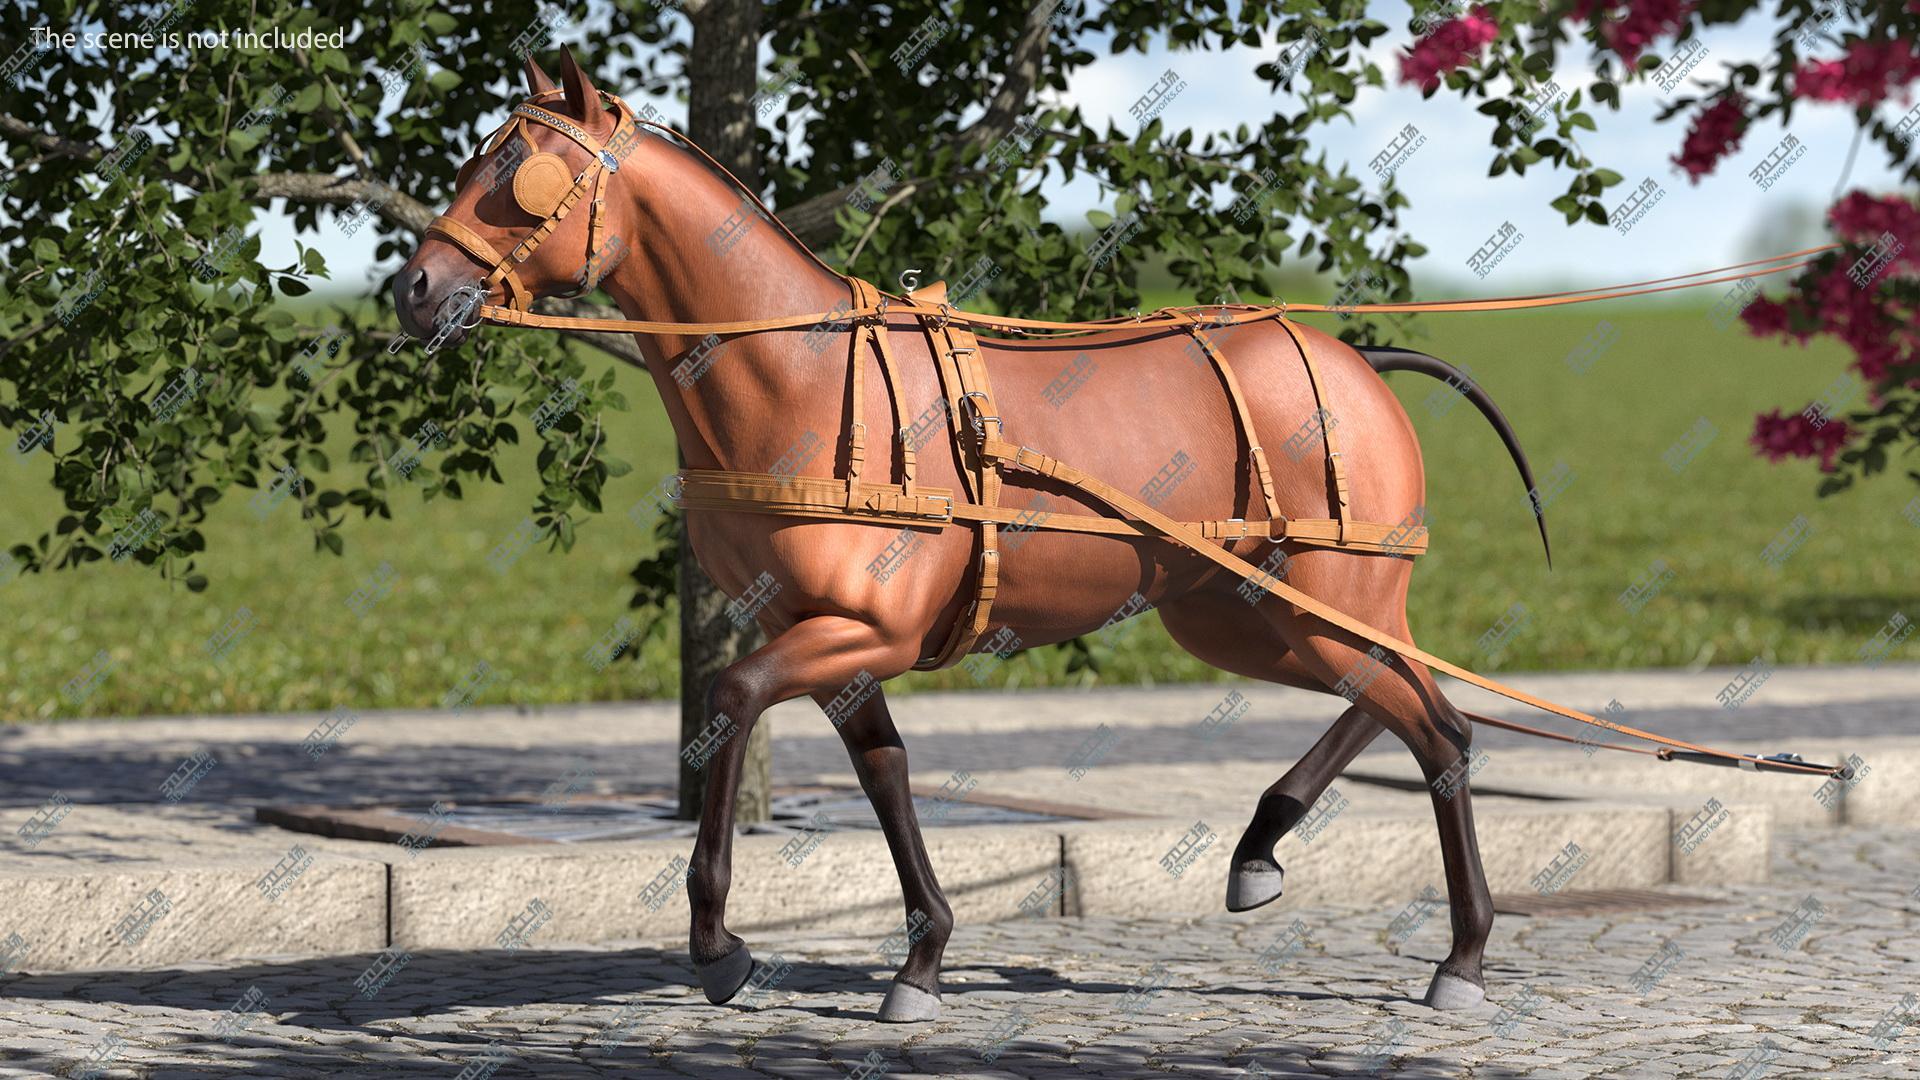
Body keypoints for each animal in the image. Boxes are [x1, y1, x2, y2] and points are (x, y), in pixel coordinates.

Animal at [395, 49, 1549, 1022]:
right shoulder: (828, 632)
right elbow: (883, 771)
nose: (414, 289)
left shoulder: (861, 628)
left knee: (1440, 730)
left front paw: (720, 946)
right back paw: (1259, 852)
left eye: (517, 171)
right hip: (1245, 616)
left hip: (1315, 603)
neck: (798, 376)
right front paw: (922, 958)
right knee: (1398, 700)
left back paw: (1462, 957)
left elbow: (729, 701)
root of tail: (1359, 361)